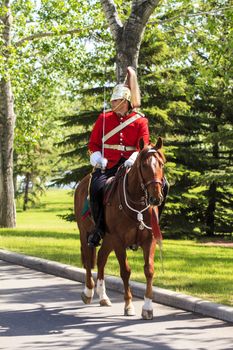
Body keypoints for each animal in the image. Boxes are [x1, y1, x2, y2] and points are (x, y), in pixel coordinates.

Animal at [73, 137, 165, 320]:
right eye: (144, 165)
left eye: (161, 164)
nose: (156, 198)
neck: (137, 204)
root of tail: (82, 183)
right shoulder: (119, 240)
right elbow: (125, 271)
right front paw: (128, 305)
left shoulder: (149, 240)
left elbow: (149, 270)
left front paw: (148, 307)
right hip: (85, 233)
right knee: (88, 261)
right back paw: (88, 291)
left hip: (108, 239)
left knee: (101, 259)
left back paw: (103, 296)